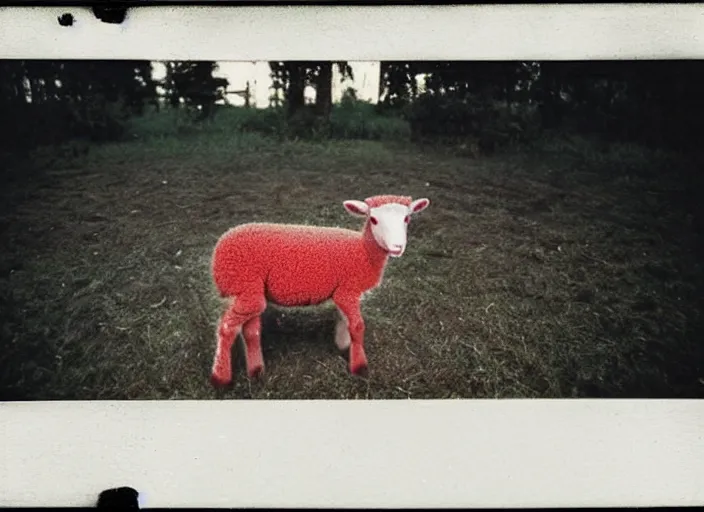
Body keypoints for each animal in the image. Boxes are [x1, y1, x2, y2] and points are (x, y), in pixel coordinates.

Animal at [209, 194, 428, 386]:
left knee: (250, 331)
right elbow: (357, 326)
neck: (362, 252)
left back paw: (256, 370)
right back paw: (220, 378)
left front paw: (343, 345)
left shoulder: (344, 291)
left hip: (249, 290)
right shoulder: (348, 290)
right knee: (227, 328)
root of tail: (220, 246)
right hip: (244, 284)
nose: (397, 247)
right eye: (373, 220)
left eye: (407, 218)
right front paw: (359, 366)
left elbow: (344, 320)